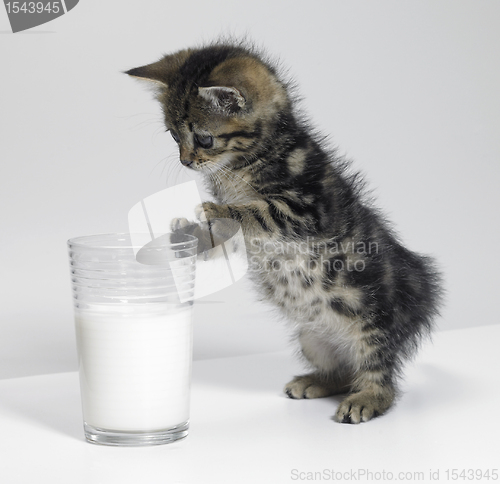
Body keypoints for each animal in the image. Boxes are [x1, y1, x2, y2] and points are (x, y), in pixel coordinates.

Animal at [127, 41, 444, 424]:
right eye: (173, 135)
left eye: (204, 138)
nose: (185, 161)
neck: (247, 161)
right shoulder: (255, 238)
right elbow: (232, 234)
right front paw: (189, 233)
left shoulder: (310, 208)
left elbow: (261, 212)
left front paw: (218, 211)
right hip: (312, 338)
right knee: (344, 371)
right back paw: (317, 382)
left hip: (374, 320)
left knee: (378, 372)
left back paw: (365, 399)